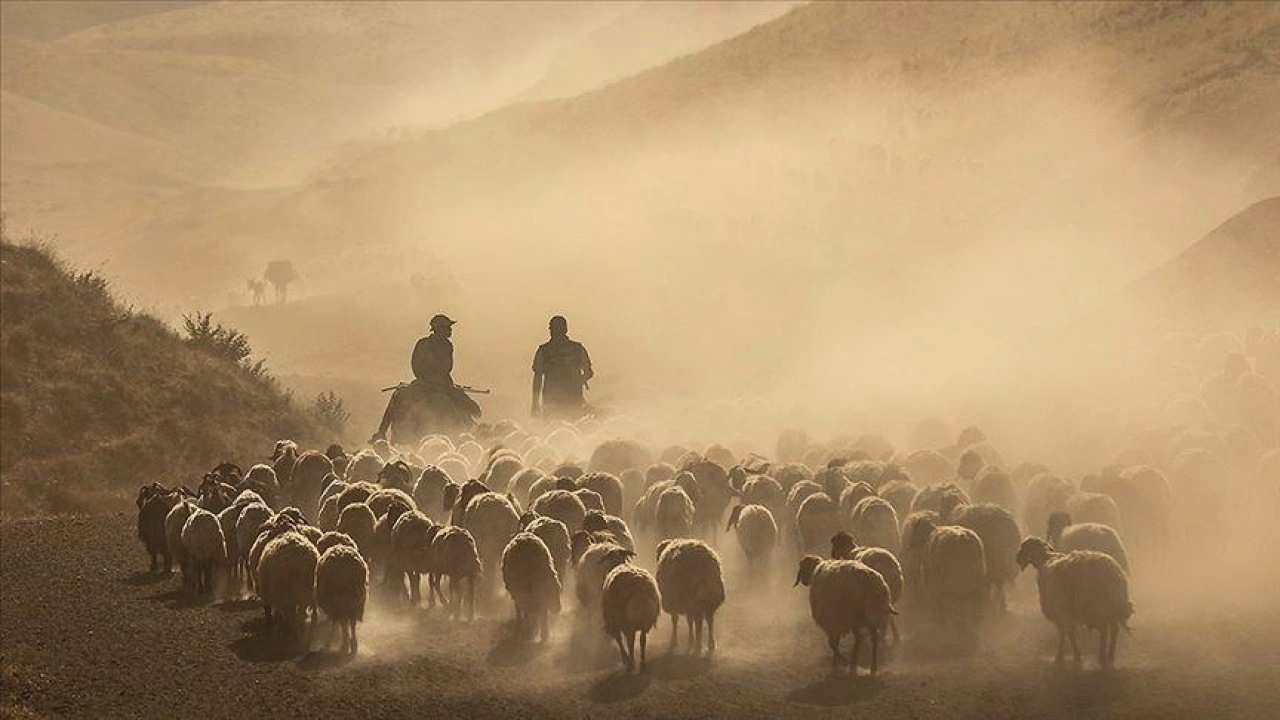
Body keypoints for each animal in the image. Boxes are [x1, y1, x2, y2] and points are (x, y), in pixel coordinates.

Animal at [1018, 532, 1131, 666]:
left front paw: (1062, 655)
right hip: (1112, 605)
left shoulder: (1059, 610)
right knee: (1114, 630)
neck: (1045, 559)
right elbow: (1069, 632)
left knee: (1104, 630)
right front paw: (1074, 654)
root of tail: (1111, 572)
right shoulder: (1066, 611)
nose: (1017, 558)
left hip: (1097, 606)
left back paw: (1102, 656)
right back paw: (1110, 655)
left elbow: (1064, 633)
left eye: (1024, 547)